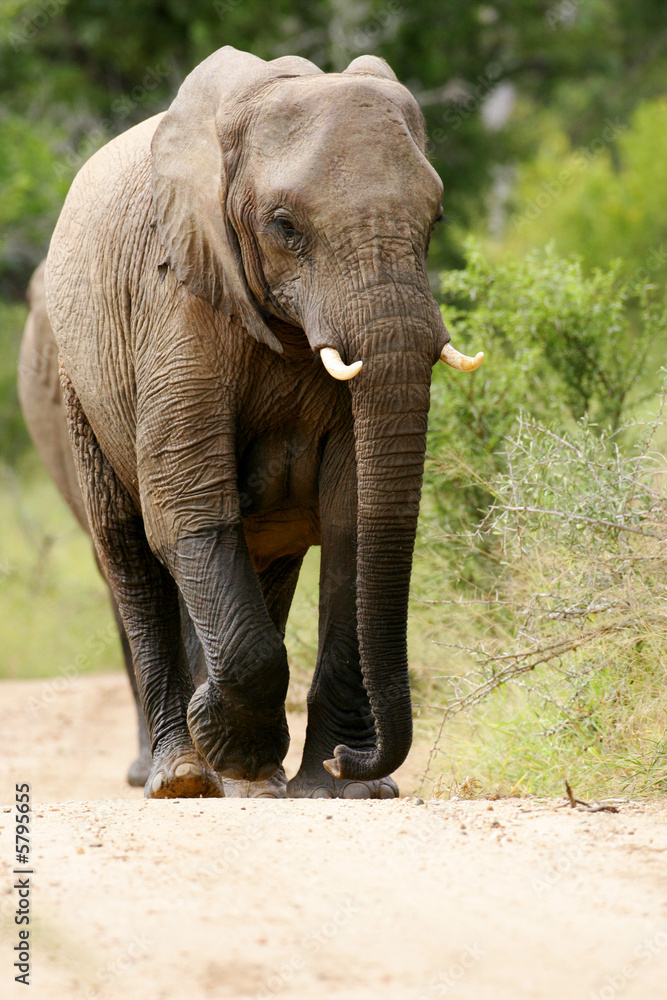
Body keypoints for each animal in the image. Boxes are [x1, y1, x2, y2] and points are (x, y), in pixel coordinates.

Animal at [43, 45, 483, 800]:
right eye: (285, 227)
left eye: (436, 220)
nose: (358, 762)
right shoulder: (176, 302)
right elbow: (186, 504)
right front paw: (234, 748)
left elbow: (351, 518)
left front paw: (338, 788)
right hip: (79, 384)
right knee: (129, 552)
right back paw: (184, 776)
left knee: (265, 561)